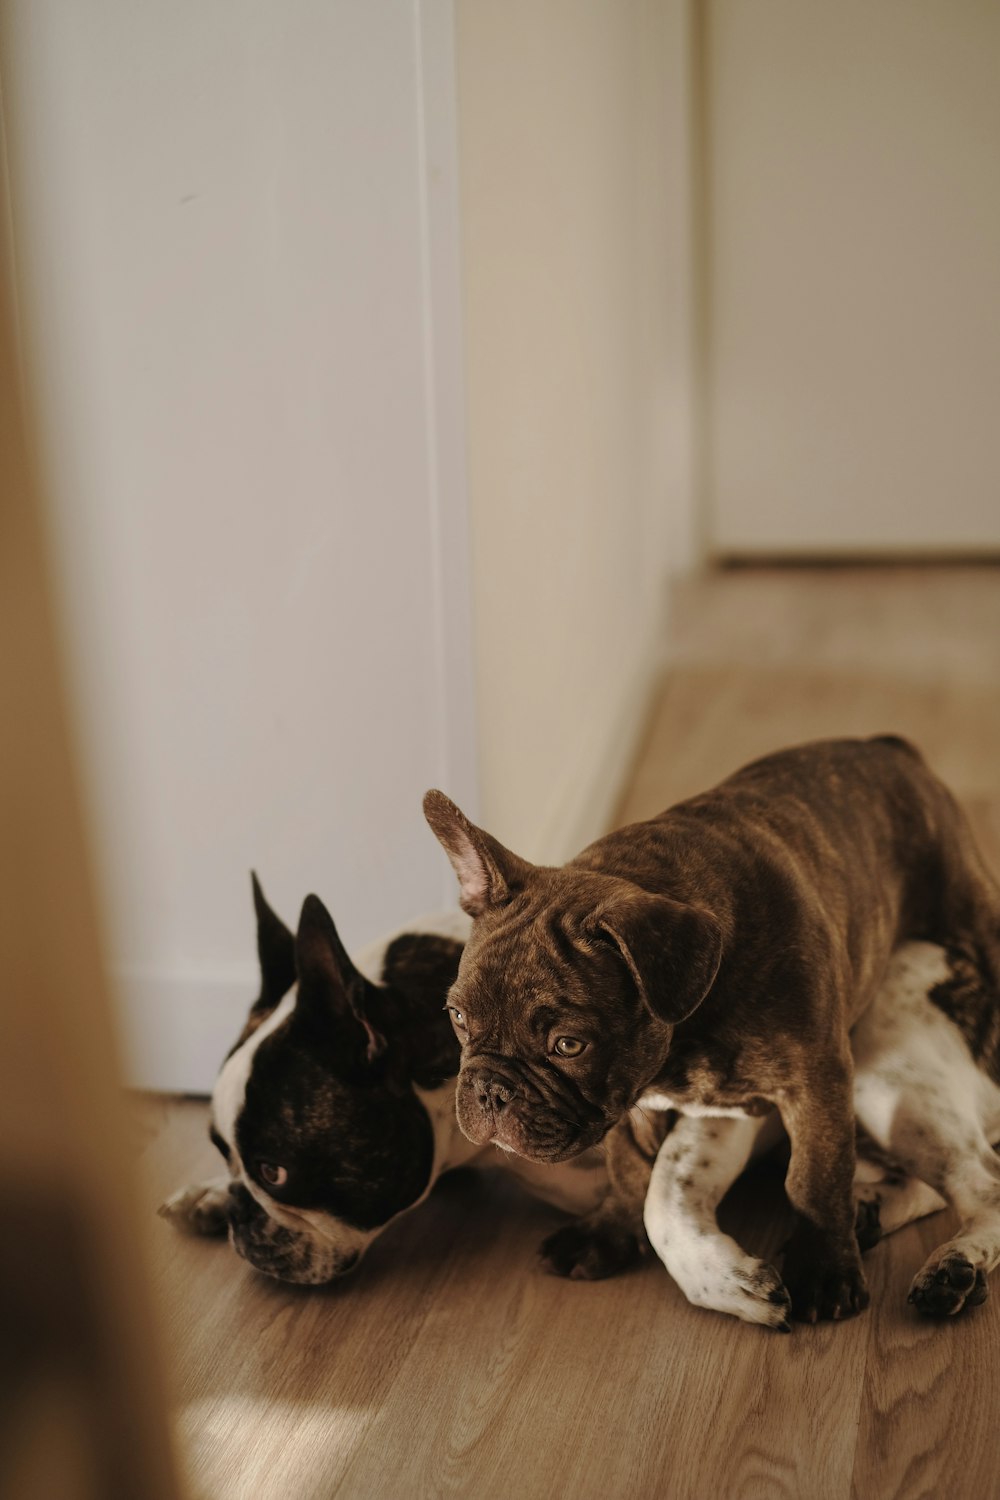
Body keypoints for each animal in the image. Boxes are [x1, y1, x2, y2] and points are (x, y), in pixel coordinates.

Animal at [422, 735, 1000, 1326]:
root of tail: (884, 743)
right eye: (458, 1018)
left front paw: (823, 1272)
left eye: (568, 1046)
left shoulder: (815, 1081)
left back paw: (953, 1266)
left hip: (897, 1062)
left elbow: (815, 1176)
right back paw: (875, 1217)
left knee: (982, 1183)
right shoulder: (649, 1103)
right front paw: (610, 1232)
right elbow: (633, 1174)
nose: (490, 1090)